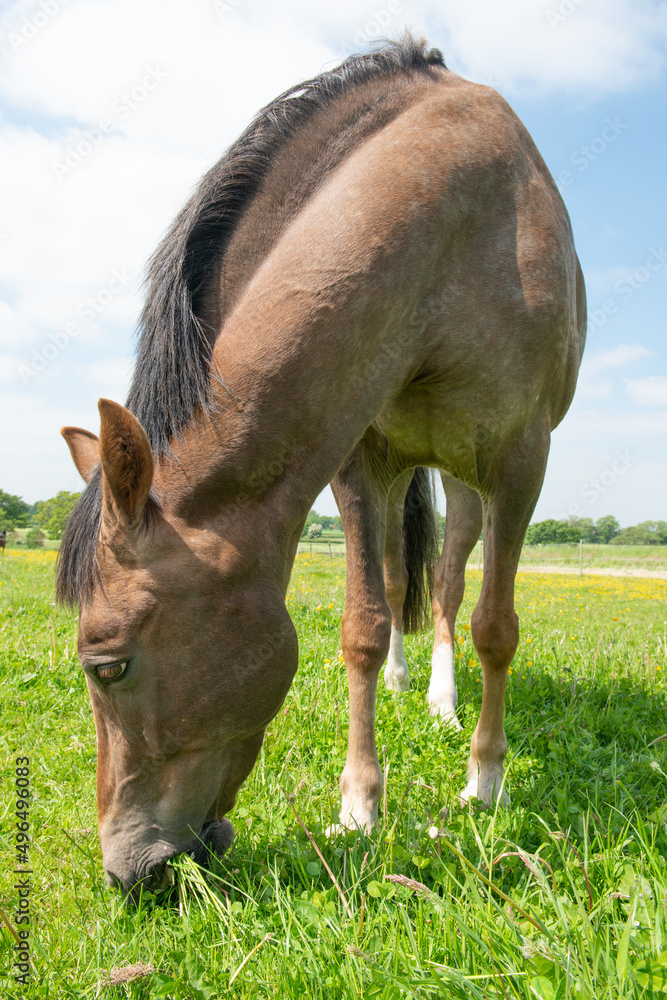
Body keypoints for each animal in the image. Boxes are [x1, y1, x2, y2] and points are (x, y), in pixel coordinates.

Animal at [57, 36, 586, 897]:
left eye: (109, 667)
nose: (127, 868)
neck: (458, 227)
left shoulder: (517, 462)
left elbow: (494, 628)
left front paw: (485, 782)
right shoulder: (357, 464)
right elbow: (363, 627)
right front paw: (359, 805)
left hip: (467, 484)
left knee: (448, 589)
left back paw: (443, 702)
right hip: (402, 476)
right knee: (403, 582)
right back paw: (406, 683)